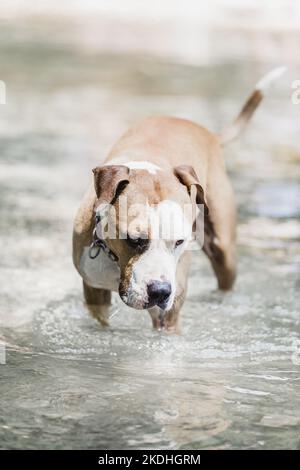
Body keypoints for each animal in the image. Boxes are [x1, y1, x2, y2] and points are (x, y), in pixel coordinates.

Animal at [72, 67, 284, 330]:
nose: (160, 291)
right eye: (134, 240)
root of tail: (207, 132)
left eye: (179, 241)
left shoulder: (169, 312)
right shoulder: (95, 293)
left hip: (222, 247)